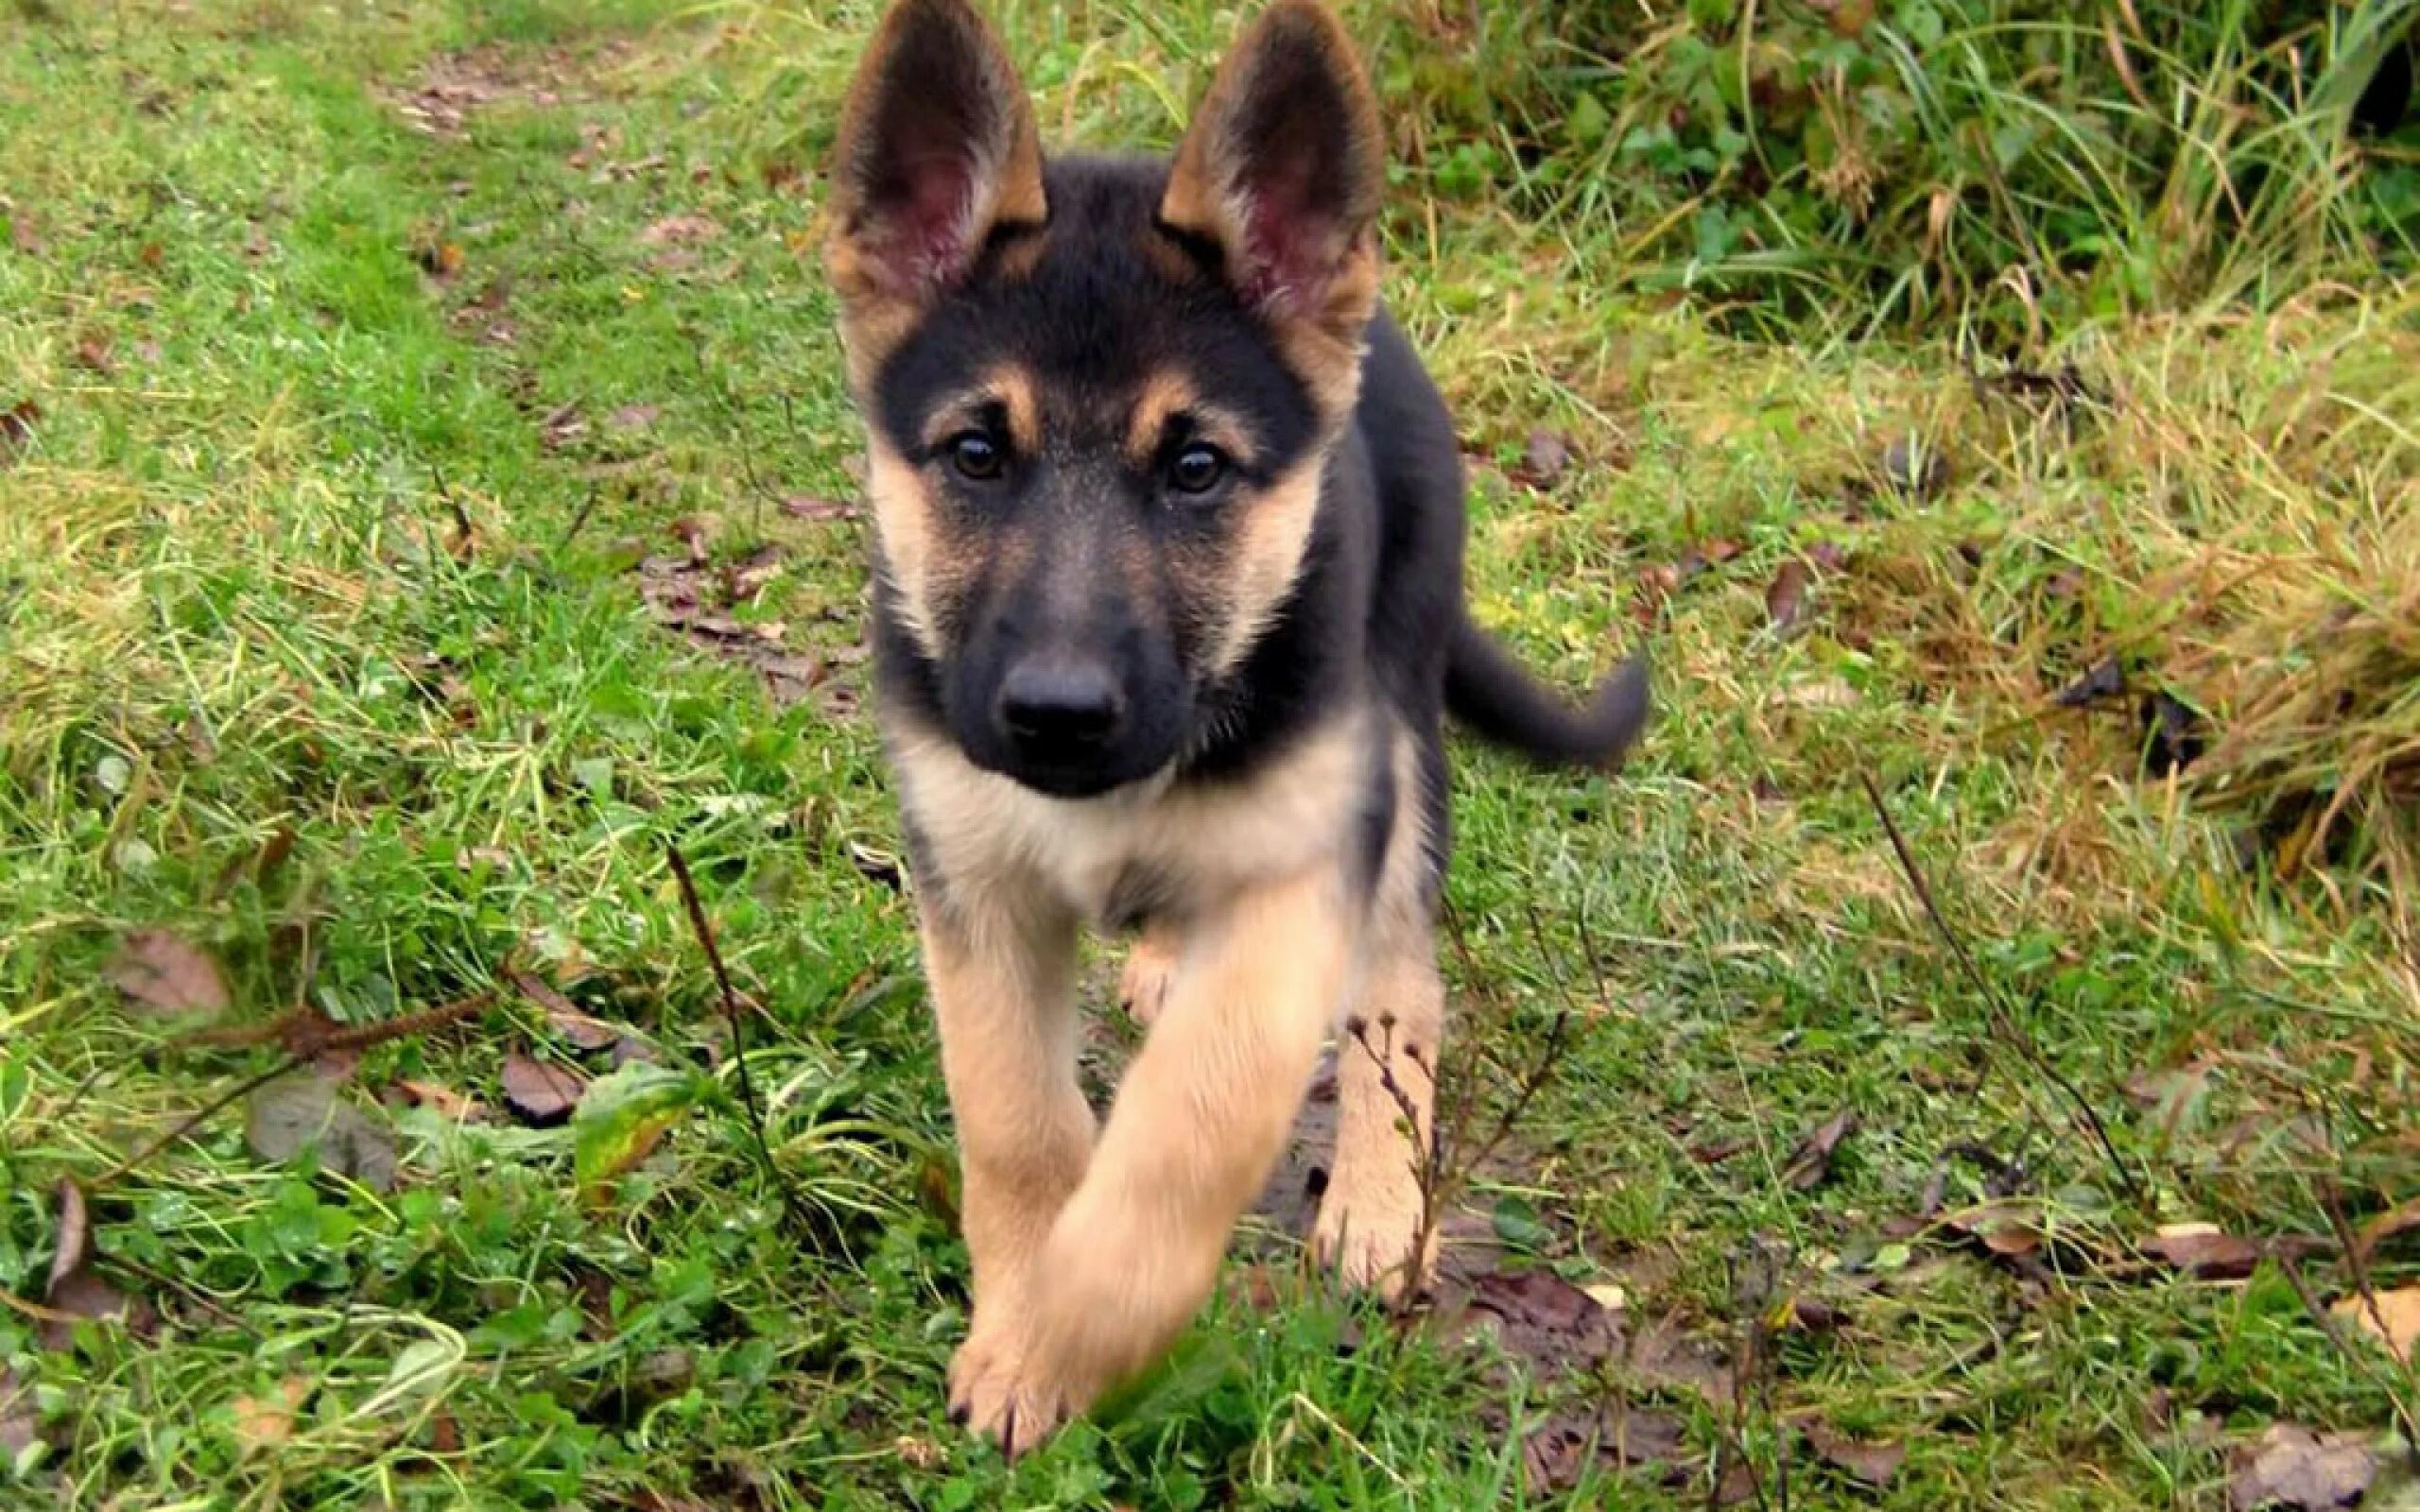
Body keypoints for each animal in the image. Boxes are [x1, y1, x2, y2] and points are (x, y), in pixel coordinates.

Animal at [827, 0, 1645, 1452]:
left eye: (1196, 468)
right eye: (977, 454)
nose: (1056, 717)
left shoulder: (1302, 874)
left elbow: (1192, 1121)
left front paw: (1074, 1321)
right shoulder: (972, 882)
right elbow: (1015, 1118)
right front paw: (1022, 1308)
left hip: (1401, 753)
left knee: (1399, 995)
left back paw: (1378, 1203)